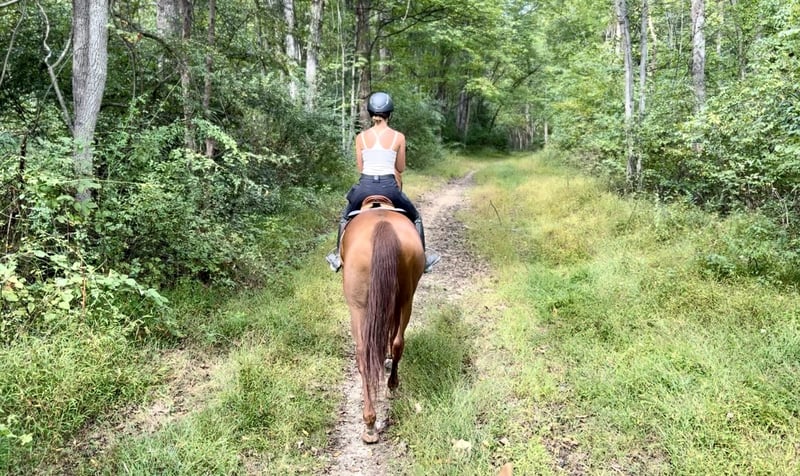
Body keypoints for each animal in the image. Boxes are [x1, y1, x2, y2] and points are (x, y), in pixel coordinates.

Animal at [340, 196, 425, 443]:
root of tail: (382, 226)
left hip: (358, 307)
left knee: (364, 353)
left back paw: (371, 420)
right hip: (405, 300)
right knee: (396, 343)